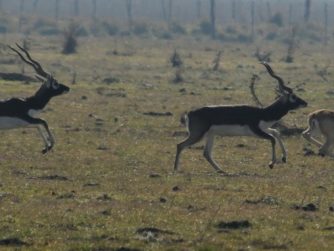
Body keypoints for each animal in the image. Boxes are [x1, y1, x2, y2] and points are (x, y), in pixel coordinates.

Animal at [175, 61, 308, 174]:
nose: (305, 103)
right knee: (180, 145)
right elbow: (272, 138)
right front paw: (271, 163)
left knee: (206, 153)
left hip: (210, 135)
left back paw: (221, 170)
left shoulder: (264, 129)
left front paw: (284, 158)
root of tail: (190, 113)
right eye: (293, 96)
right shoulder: (256, 131)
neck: (263, 113)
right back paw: (175, 169)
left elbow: (276, 132)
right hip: (198, 134)